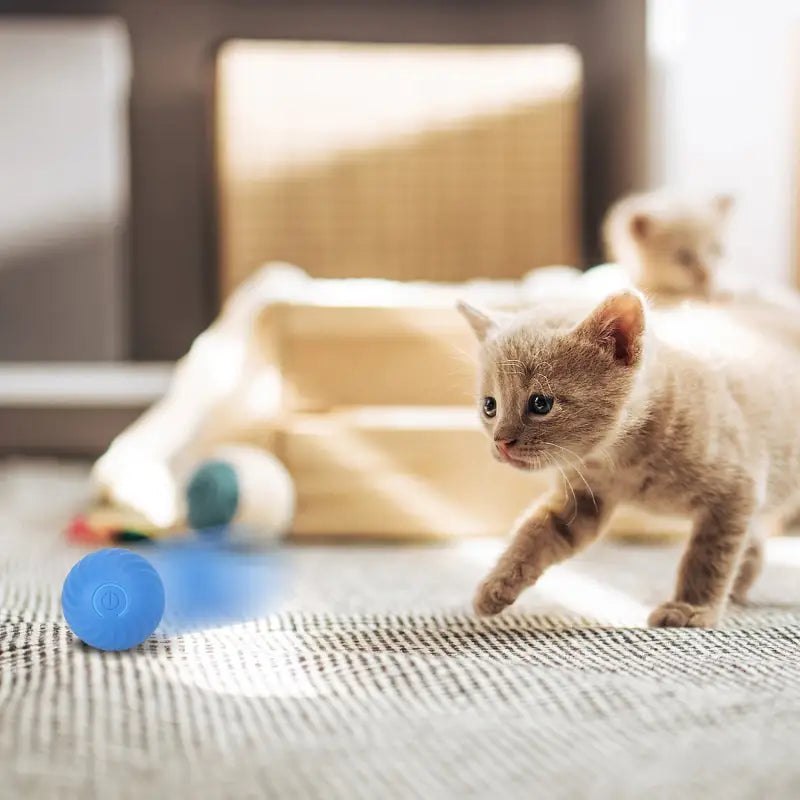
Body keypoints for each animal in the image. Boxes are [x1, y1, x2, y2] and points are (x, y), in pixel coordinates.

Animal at [456, 290, 800, 628]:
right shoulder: (581, 499)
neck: (621, 461)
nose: (501, 442)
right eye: (490, 406)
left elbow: (709, 557)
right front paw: (496, 585)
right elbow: (534, 533)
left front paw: (691, 608)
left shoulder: (735, 490)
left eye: (541, 403)